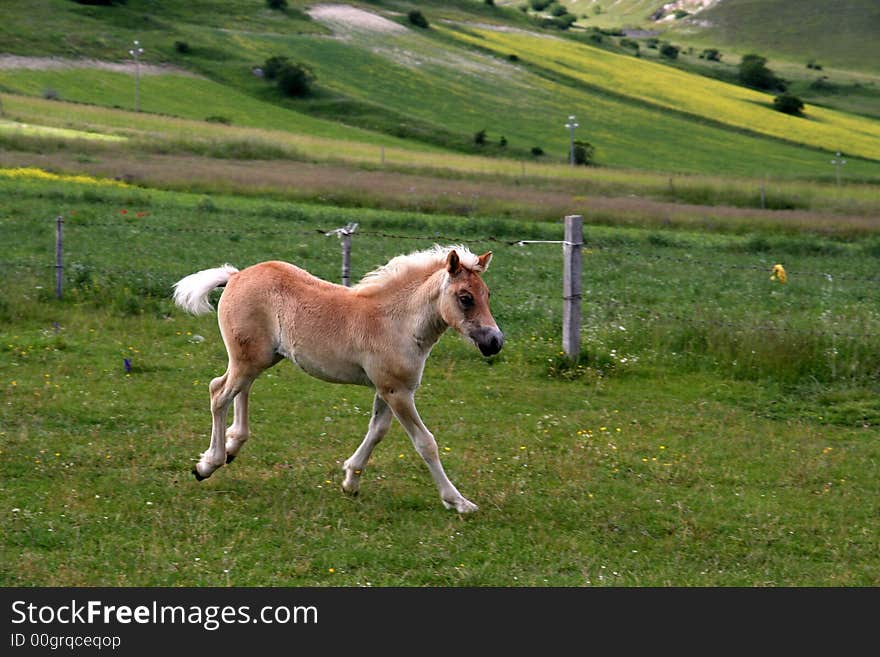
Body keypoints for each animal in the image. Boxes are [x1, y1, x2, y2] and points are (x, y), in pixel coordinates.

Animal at [172, 246, 502, 512]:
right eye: (465, 298)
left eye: (487, 295)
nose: (495, 342)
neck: (397, 322)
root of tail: (236, 275)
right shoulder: (397, 391)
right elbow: (426, 443)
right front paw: (458, 501)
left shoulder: (389, 390)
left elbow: (377, 431)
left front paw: (350, 481)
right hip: (247, 360)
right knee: (219, 392)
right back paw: (208, 464)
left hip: (258, 358)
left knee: (239, 391)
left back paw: (232, 445)